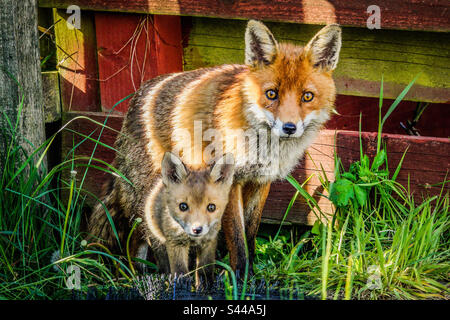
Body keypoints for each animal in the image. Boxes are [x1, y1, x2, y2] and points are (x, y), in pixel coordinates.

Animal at [88, 19, 342, 276]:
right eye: (271, 94)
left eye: (307, 96)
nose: (289, 127)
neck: (262, 147)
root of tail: (135, 101)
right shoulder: (229, 183)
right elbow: (238, 241)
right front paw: (241, 277)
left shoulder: (260, 182)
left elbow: (250, 233)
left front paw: (251, 274)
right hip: (153, 191)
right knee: (143, 237)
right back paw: (149, 276)